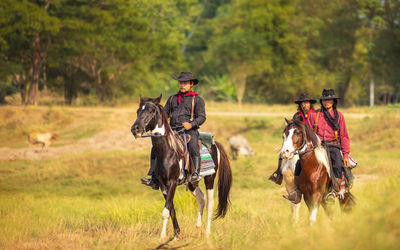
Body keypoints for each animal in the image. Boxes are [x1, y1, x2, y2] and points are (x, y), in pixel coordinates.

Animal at [130, 95, 233, 240]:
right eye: (138, 111)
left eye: (150, 111)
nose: (135, 129)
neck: (168, 151)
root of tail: (215, 144)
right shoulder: (163, 185)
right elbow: (171, 209)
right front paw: (176, 234)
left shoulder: (172, 183)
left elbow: (166, 211)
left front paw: (162, 237)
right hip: (192, 183)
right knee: (201, 199)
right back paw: (198, 226)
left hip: (210, 179)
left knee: (210, 204)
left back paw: (207, 233)